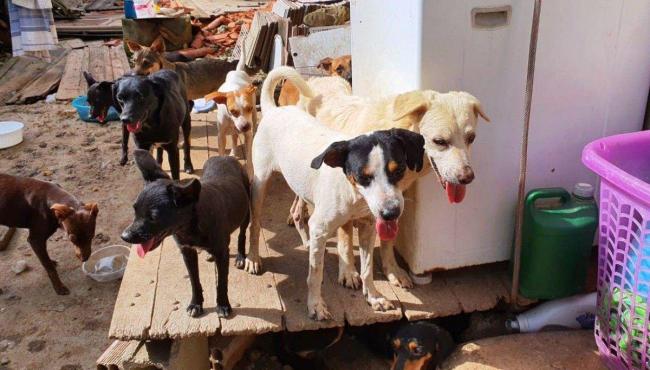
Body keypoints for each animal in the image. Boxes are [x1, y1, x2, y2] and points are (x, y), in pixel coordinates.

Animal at [205, 47, 256, 180]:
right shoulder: (221, 135)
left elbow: (249, 157)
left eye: (249, 108)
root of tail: (237, 71)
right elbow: (221, 151)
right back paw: (233, 152)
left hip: (253, 118)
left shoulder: (248, 134)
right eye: (233, 111)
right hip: (232, 130)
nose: (245, 126)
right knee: (234, 137)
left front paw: (250, 172)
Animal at [246, 66, 422, 318]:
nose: (392, 213)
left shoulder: (368, 227)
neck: (354, 196)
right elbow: (315, 274)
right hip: (259, 184)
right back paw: (253, 258)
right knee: (255, 224)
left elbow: (367, 269)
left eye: (398, 170)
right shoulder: (321, 226)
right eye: (363, 176)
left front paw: (374, 297)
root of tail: (273, 110)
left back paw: (306, 242)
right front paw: (315, 306)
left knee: (297, 212)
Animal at [278, 68, 486, 290]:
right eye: (440, 141)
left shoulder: (393, 200)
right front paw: (348, 271)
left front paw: (392, 271)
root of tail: (316, 79)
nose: (467, 178)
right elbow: (346, 239)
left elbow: (387, 242)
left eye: (471, 138)